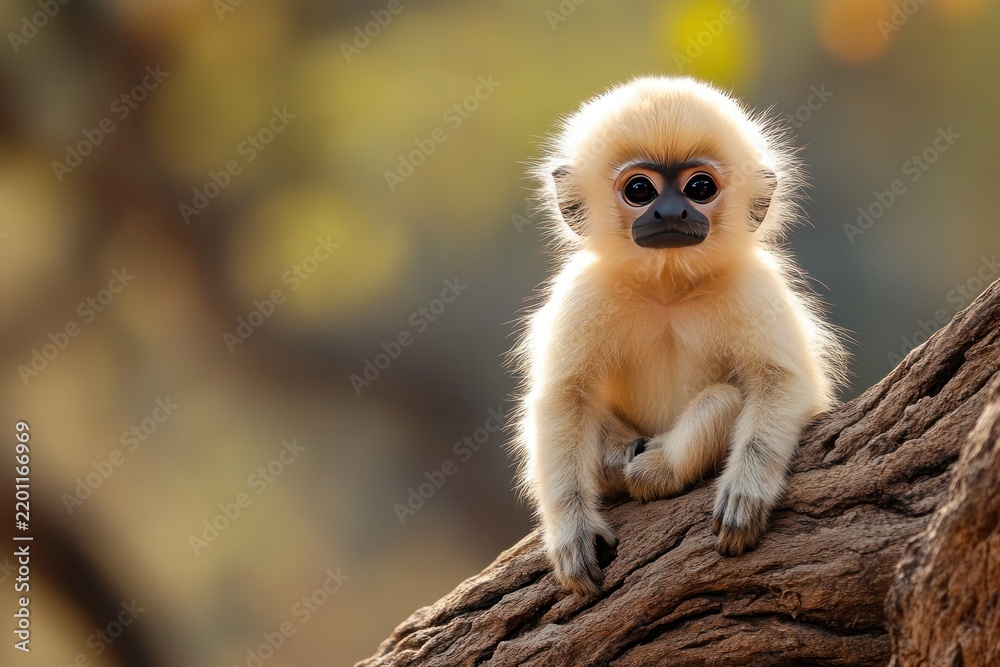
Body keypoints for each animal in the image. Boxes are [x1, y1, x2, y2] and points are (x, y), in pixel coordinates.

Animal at [511, 76, 846, 596]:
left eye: (700, 187)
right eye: (640, 189)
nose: (671, 211)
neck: (667, 288)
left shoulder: (754, 286)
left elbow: (785, 382)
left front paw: (745, 492)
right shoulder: (582, 292)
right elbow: (563, 398)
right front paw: (572, 533)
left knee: (725, 398)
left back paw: (657, 469)